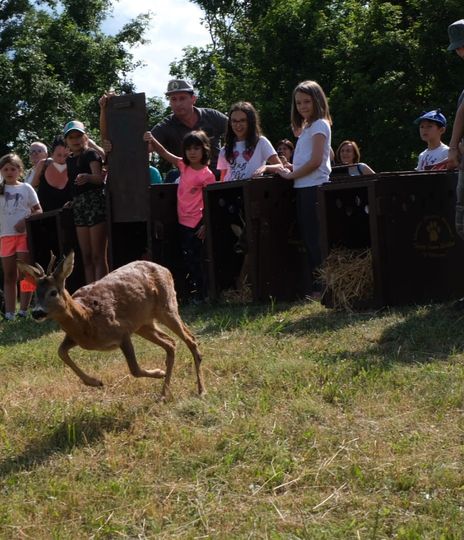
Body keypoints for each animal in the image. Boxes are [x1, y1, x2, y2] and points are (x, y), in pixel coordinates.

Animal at [17, 251, 205, 398]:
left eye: (53, 292)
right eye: (36, 293)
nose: (36, 312)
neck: (86, 319)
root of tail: (165, 268)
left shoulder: (121, 331)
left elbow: (134, 369)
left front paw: (159, 372)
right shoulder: (74, 338)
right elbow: (61, 352)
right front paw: (95, 382)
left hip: (167, 306)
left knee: (190, 339)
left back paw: (200, 390)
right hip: (144, 325)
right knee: (171, 343)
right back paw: (164, 394)